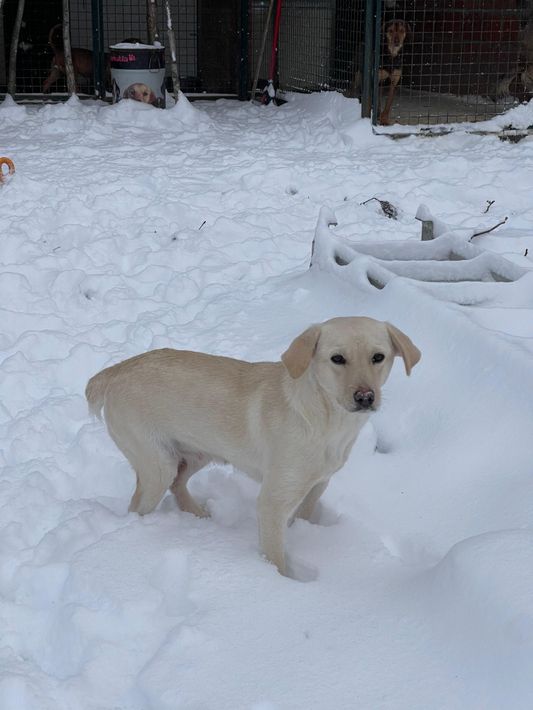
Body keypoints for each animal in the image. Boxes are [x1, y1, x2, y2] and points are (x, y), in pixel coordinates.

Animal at [85, 317, 420, 577]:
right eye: (337, 358)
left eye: (378, 357)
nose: (365, 397)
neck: (327, 420)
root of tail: (116, 371)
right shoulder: (273, 501)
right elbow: (275, 555)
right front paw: (280, 583)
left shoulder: (318, 484)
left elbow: (304, 516)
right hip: (158, 464)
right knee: (139, 505)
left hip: (197, 452)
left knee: (178, 484)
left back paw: (199, 516)